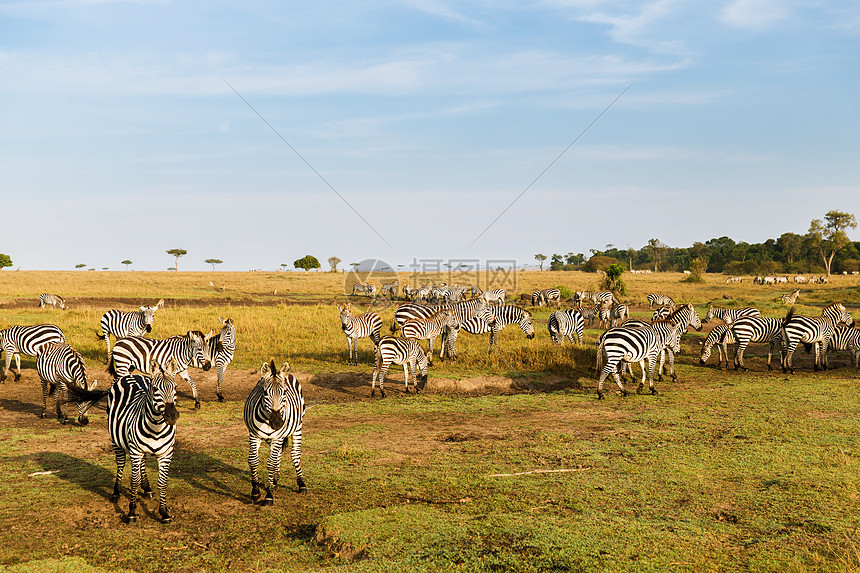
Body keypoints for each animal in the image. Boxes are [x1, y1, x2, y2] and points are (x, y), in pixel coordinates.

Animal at [244, 360, 308, 502]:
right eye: (265, 393)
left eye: (284, 392)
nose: (277, 423)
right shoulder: (254, 435)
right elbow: (253, 460)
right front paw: (255, 491)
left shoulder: (278, 437)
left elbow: (271, 463)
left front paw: (269, 495)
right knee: (278, 454)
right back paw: (274, 479)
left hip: (297, 427)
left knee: (295, 454)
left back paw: (301, 484)